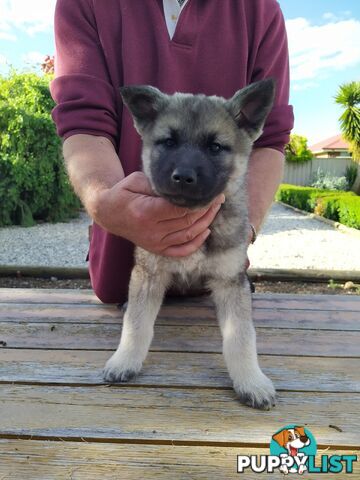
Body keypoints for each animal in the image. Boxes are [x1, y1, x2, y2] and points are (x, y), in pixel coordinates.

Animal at [102, 79, 278, 408]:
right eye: (169, 142)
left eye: (215, 147)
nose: (183, 177)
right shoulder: (149, 273)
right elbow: (137, 324)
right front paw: (125, 360)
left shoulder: (230, 281)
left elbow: (241, 336)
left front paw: (251, 380)